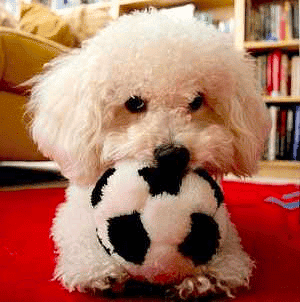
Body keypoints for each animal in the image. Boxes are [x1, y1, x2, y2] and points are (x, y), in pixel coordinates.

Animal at [28, 10, 270, 300]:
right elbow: (80, 230)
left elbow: (226, 240)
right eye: (134, 103)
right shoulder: (74, 209)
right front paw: (95, 267)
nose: (173, 155)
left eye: (197, 101)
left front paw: (211, 272)